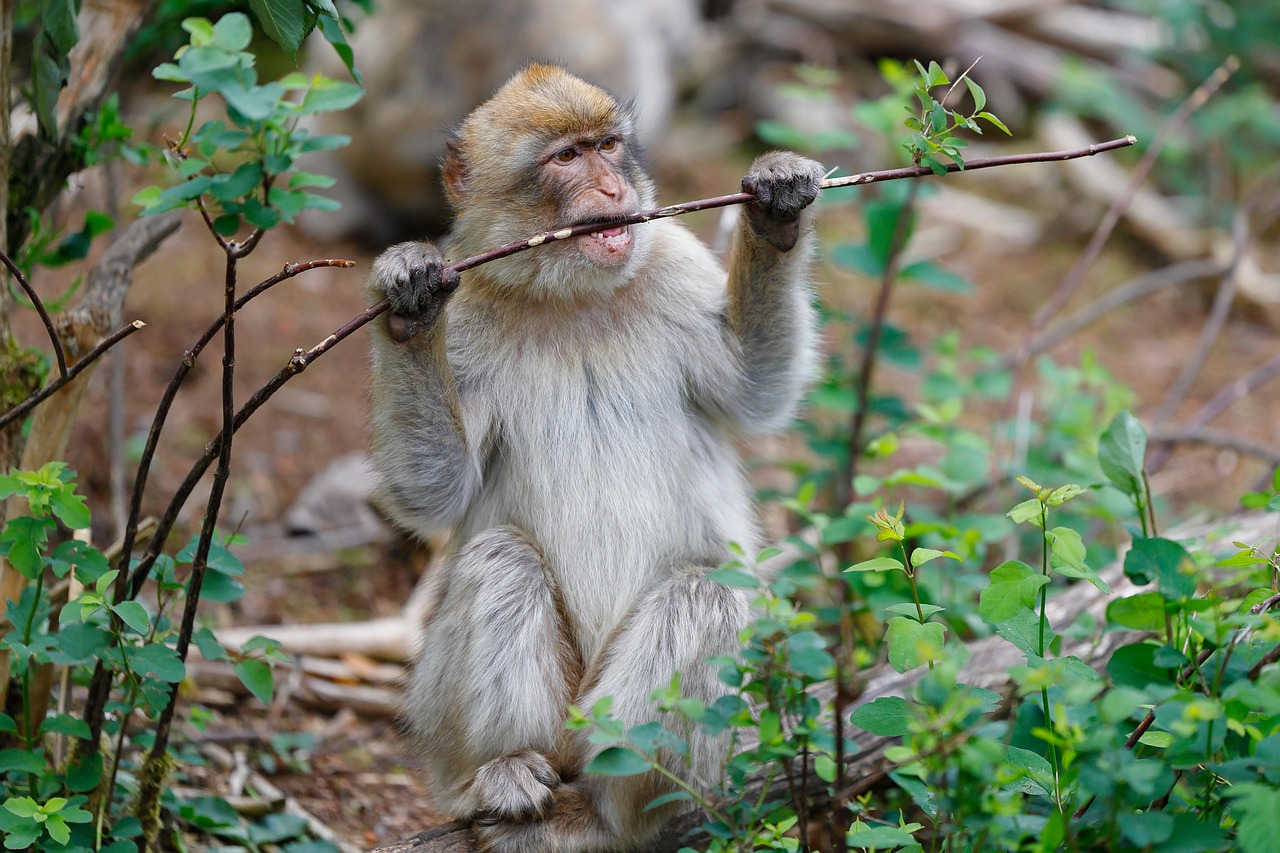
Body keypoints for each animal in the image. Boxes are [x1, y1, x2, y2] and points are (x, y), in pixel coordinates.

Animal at [365, 64, 822, 852]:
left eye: (609, 147)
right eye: (567, 158)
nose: (612, 191)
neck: (572, 294)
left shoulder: (671, 258)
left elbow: (755, 392)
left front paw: (776, 211)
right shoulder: (469, 316)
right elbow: (435, 493)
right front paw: (409, 306)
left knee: (706, 595)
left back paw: (609, 811)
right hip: (441, 727)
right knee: (501, 561)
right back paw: (504, 774)